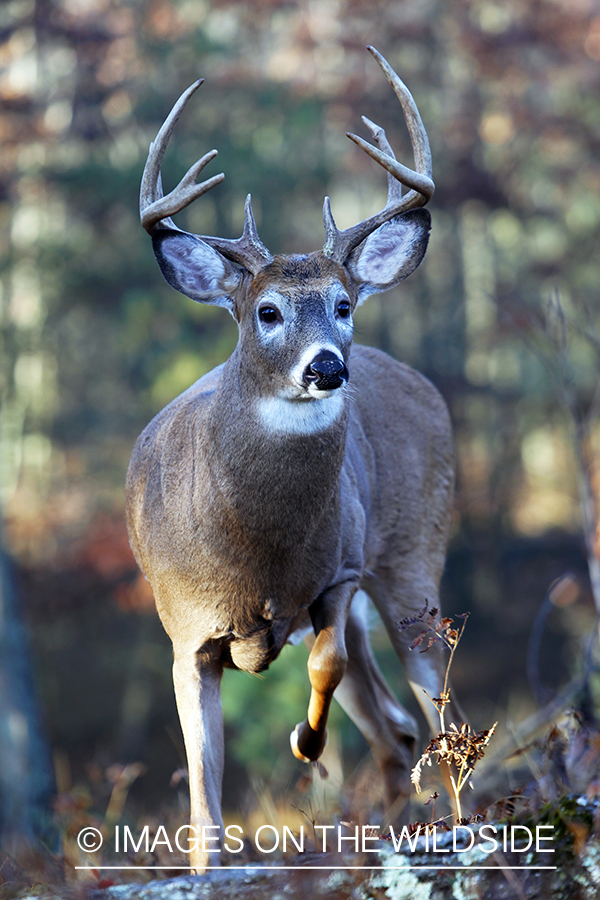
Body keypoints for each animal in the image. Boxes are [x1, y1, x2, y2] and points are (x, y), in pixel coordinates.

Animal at [126, 47, 462, 872]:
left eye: (343, 304)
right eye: (267, 311)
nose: (328, 366)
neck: (257, 556)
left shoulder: (337, 572)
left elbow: (325, 667)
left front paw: (304, 742)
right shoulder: (184, 629)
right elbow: (203, 784)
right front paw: (208, 866)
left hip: (411, 555)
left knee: (426, 709)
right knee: (396, 727)